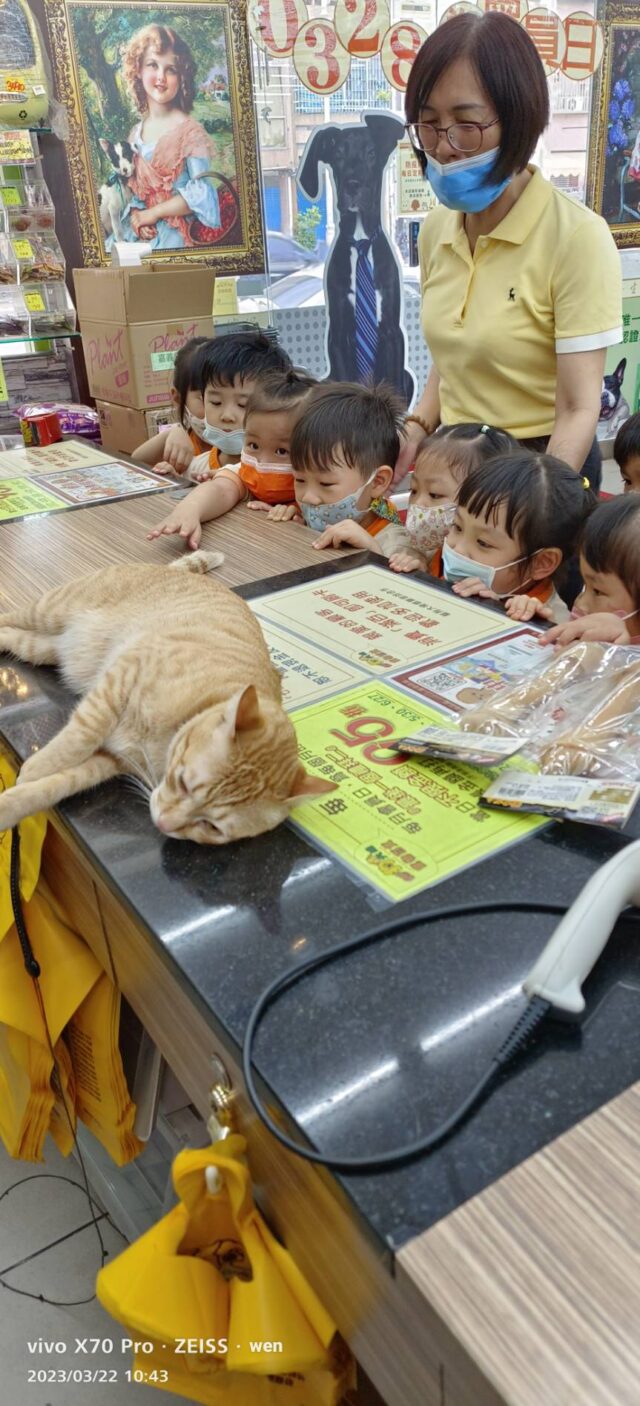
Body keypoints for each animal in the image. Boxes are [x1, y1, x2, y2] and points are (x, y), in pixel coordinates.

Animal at [0, 553, 336, 843]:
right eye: (184, 782)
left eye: (212, 827)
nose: (163, 823)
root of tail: (177, 570)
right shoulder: (119, 680)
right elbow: (79, 738)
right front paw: (36, 767)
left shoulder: (112, 761)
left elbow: (59, 784)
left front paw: (13, 803)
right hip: (48, 611)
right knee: (7, 616)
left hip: (39, 647)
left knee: (12, 636)